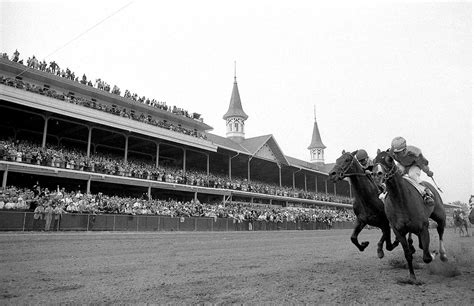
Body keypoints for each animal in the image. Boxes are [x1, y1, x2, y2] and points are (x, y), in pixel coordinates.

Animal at [374, 150, 448, 282]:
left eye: (389, 159)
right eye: (373, 160)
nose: (377, 174)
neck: (401, 201)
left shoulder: (423, 227)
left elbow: (427, 257)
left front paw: (433, 253)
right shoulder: (398, 230)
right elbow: (407, 254)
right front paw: (412, 277)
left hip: (440, 216)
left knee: (440, 231)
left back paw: (443, 255)